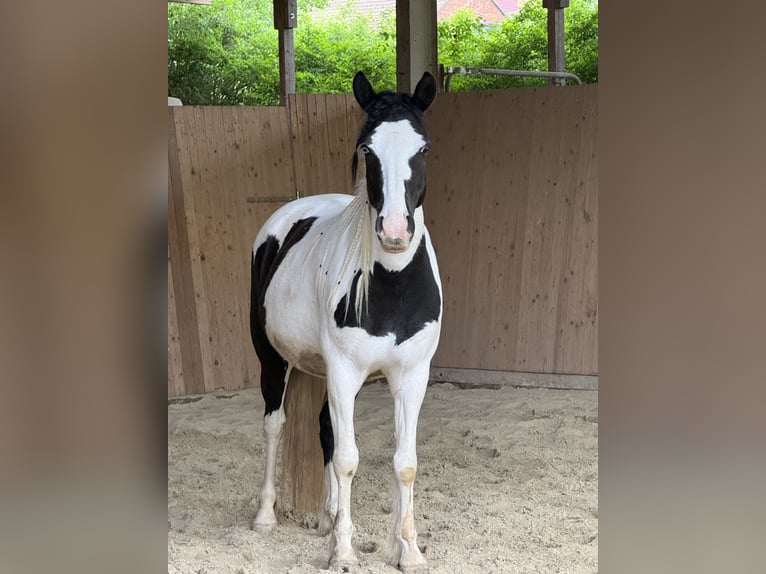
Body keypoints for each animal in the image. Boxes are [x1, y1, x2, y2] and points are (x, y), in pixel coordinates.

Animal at [249, 71, 441, 573]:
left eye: (423, 148)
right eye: (367, 150)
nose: (394, 232)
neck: (392, 288)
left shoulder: (411, 377)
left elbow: (404, 461)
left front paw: (407, 549)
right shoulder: (343, 372)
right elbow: (348, 460)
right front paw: (342, 551)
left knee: (325, 430)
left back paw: (328, 515)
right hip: (275, 361)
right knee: (275, 425)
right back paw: (265, 515)